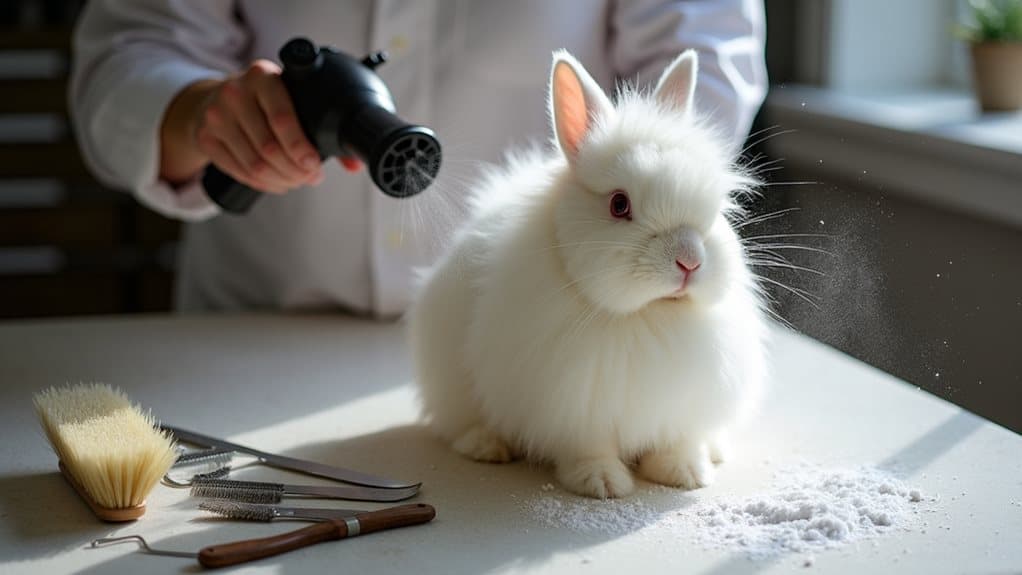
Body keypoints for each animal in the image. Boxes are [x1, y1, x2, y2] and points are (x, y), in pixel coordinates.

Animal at [406, 48, 768, 499]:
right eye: (619, 204)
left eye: (714, 208)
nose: (690, 261)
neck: (648, 314)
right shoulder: (575, 408)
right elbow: (589, 447)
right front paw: (602, 483)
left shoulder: (683, 405)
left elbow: (676, 440)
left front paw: (685, 473)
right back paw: (486, 445)